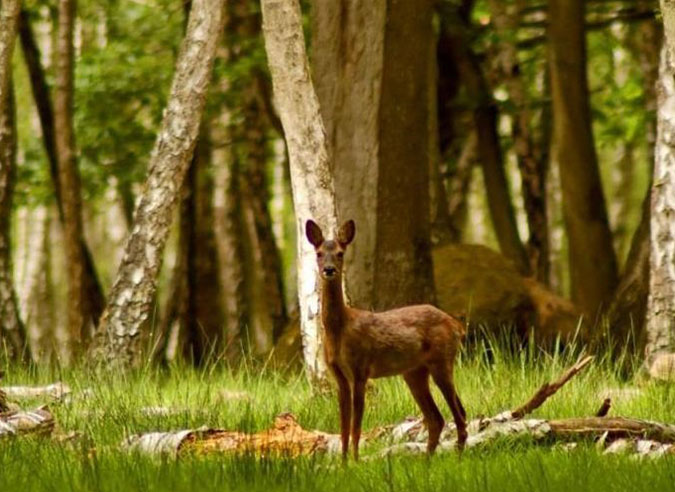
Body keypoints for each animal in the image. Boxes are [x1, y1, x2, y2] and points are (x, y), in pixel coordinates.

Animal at [308, 221, 470, 460]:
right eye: (319, 253)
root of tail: (456, 325)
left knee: (459, 415)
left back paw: (456, 458)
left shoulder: (360, 370)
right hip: (414, 373)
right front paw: (344, 462)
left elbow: (356, 426)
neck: (340, 329)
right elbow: (344, 427)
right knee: (437, 419)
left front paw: (356, 461)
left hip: (442, 361)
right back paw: (427, 461)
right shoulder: (338, 376)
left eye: (340, 253)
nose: (329, 270)